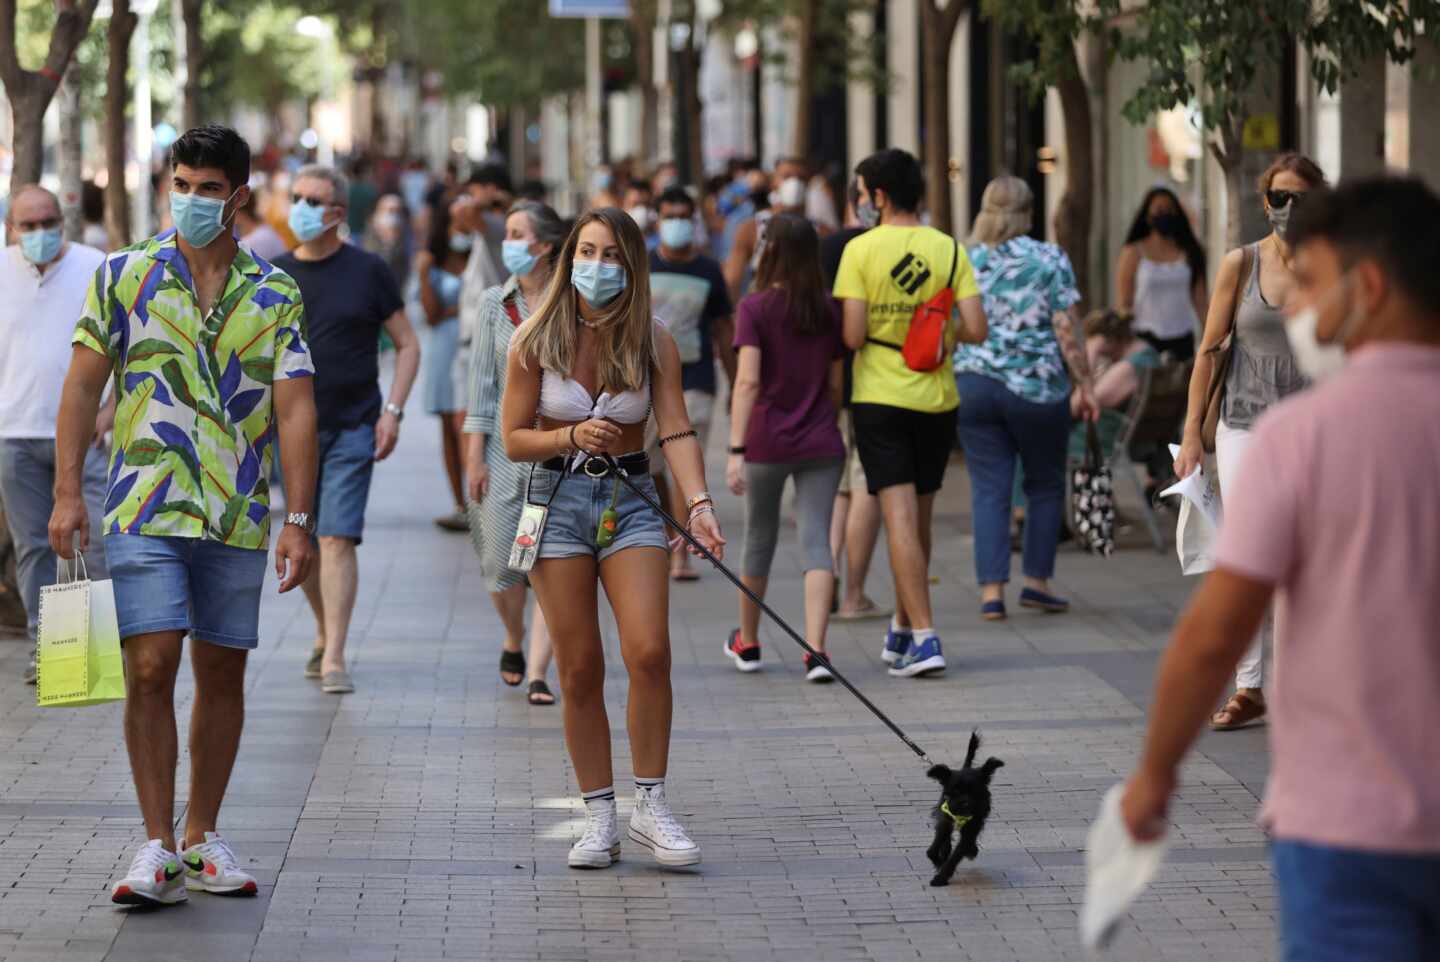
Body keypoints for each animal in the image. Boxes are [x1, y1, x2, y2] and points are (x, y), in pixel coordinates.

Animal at [921, 731, 1002, 881]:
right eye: (956, 791)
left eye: (974, 792)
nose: (965, 802)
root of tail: (967, 767)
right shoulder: (945, 818)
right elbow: (932, 849)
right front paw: (939, 860)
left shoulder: (972, 826)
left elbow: (957, 853)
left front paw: (941, 877)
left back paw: (970, 850)